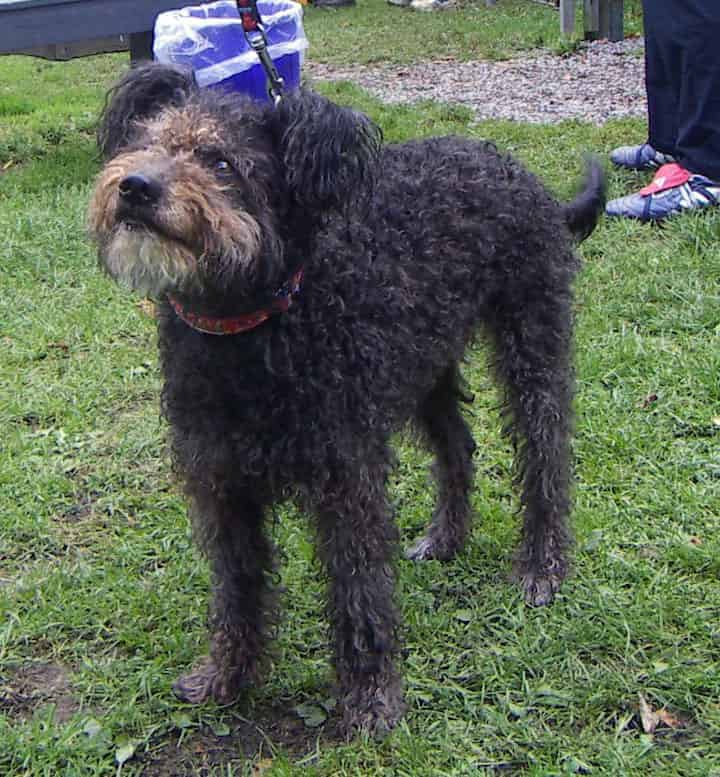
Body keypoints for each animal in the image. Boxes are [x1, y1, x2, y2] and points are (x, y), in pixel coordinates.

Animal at [90, 63, 608, 736]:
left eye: (221, 161)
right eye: (145, 142)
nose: (134, 186)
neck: (253, 328)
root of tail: (520, 174)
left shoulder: (346, 481)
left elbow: (358, 589)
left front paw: (369, 701)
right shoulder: (221, 484)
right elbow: (236, 588)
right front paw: (228, 675)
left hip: (531, 343)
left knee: (545, 455)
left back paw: (542, 567)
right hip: (424, 366)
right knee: (457, 446)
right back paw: (446, 538)